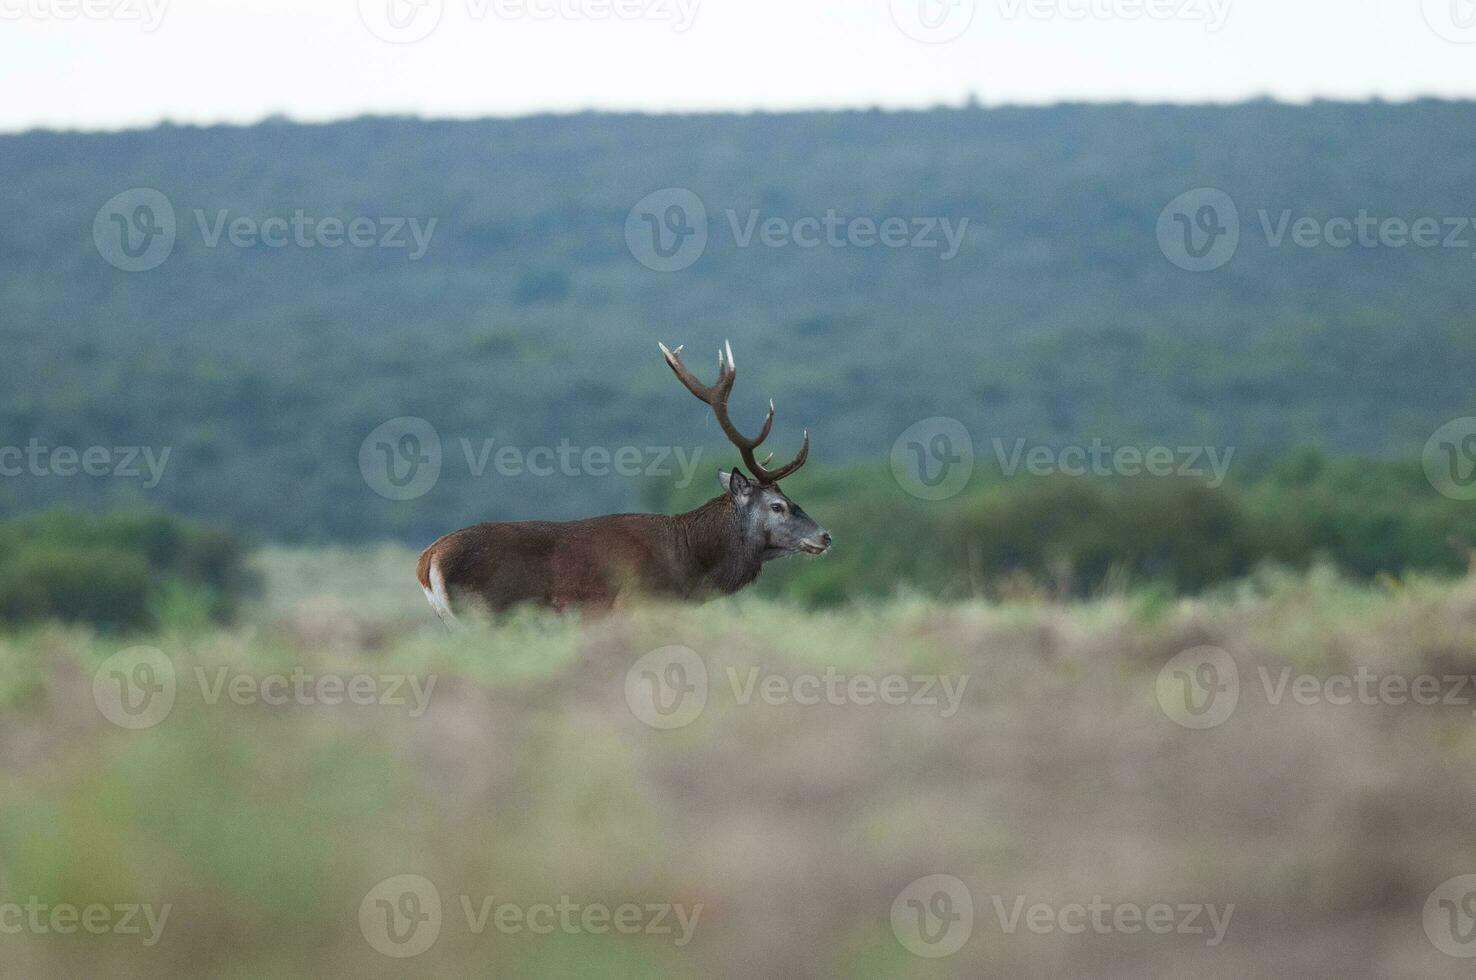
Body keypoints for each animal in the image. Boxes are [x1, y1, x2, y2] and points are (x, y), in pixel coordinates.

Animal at [416, 340, 832, 622]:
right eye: (778, 505)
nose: (825, 535)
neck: (688, 572)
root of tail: (427, 560)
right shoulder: (633, 606)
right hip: (486, 614)